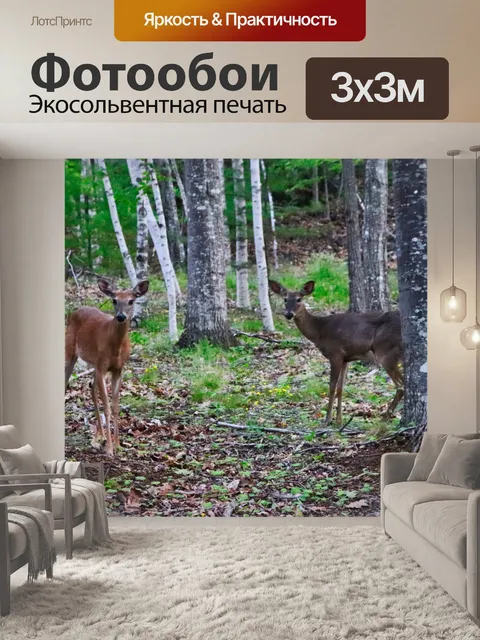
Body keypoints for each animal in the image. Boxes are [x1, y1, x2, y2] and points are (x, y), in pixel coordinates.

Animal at [65, 278, 149, 456]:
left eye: (131, 300)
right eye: (114, 300)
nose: (121, 316)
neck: (115, 346)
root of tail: (76, 311)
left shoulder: (118, 369)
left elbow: (116, 407)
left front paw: (117, 445)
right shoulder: (102, 367)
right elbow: (108, 408)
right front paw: (110, 449)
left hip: (94, 364)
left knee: (91, 387)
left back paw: (99, 437)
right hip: (71, 351)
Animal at [268, 280, 404, 426]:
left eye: (299, 299)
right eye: (285, 299)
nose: (288, 314)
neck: (319, 331)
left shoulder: (335, 354)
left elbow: (332, 387)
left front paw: (327, 419)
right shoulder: (346, 358)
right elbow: (341, 388)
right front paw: (339, 420)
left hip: (385, 351)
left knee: (401, 386)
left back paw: (385, 417)